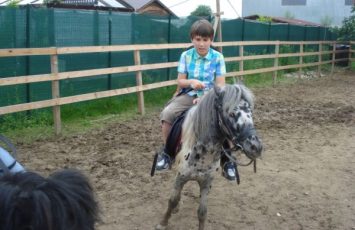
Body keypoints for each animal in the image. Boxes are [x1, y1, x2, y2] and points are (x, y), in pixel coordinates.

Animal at [156, 84, 264, 230]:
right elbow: (172, 200)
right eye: (231, 113)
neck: (202, 154)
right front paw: (163, 223)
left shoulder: (206, 182)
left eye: (251, 112)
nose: (256, 147)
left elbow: (202, 212)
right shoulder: (181, 177)